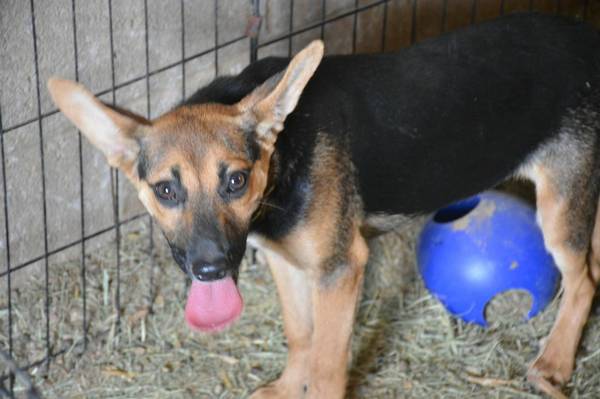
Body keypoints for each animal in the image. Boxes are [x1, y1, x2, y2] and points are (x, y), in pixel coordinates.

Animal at [48, 12, 600, 399]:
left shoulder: (341, 269)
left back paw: (554, 363)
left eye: (235, 181)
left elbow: (329, 364)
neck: (282, 160)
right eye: (166, 190)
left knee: (583, 281)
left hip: (560, 207)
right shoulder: (285, 261)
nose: (209, 269)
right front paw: (289, 386)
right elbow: (300, 337)